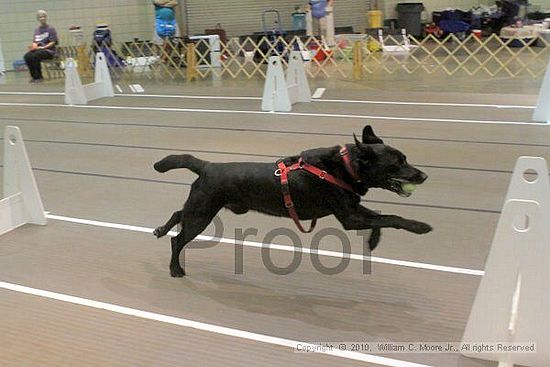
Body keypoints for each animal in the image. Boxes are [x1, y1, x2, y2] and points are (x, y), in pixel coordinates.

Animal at [153, 125, 434, 278]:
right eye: (396, 163)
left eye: (405, 158)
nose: (424, 175)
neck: (344, 167)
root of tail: (207, 166)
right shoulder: (350, 217)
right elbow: (391, 217)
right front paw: (420, 226)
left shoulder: (352, 208)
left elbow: (379, 216)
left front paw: (374, 241)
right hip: (202, 213)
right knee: (178, 239)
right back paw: (175, 268)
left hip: (200, 207)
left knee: (178, 213)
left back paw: (160, 229)